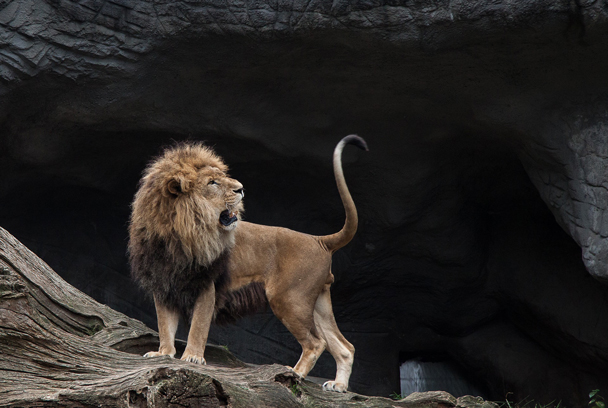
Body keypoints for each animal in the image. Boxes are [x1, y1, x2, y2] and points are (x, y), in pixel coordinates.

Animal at [127, 135, 366, 392]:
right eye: (212, 182)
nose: (241, 188)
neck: (176, 235)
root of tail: (318, 239)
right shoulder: (163, 285)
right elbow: (165, 325)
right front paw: (163, 353)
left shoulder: (207, 286)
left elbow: (198, 326)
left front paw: (192, 357)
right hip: (316, 302)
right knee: (344, 346)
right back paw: (338, 386)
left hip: (289, 299)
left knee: (316, 343)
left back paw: (294, 374)